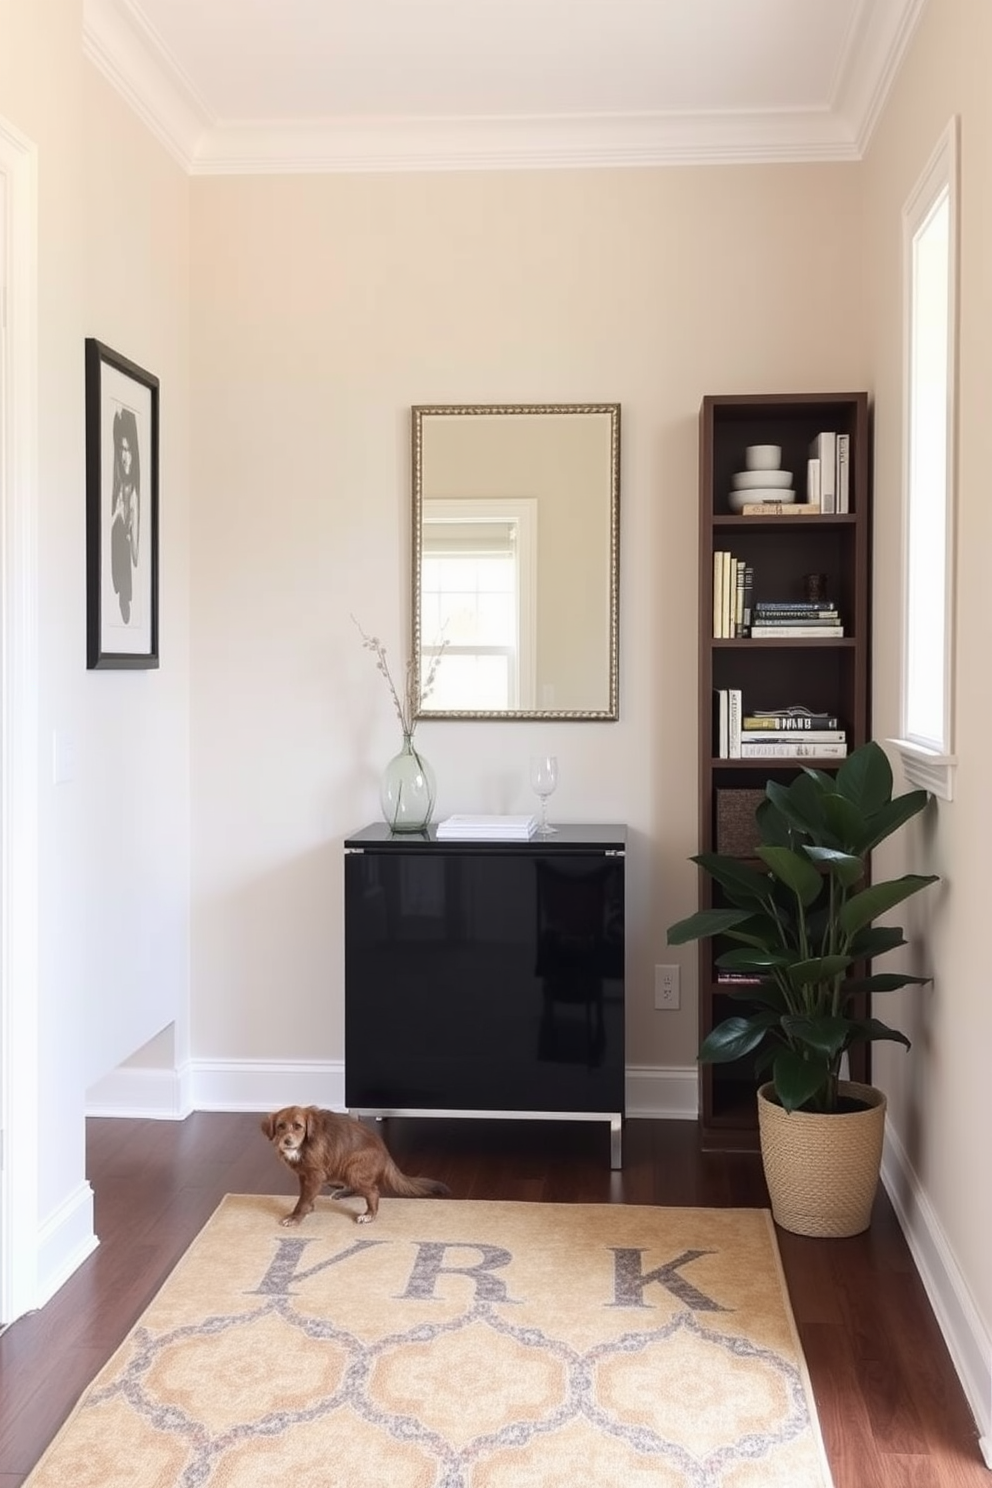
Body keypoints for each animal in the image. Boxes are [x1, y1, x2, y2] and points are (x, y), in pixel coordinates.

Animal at [261, 1101, 452, 1226]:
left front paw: (295, 1217)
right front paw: (308, 1208)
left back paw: (369, 1215)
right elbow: (305, 1196)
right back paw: (342, 1192)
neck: (304, 1144)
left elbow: (302, 1200)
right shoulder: (304, 1175)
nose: (287, 1141)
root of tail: (386, 1154)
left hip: (352, 1168)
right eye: (280, 1126)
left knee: (373, 1192)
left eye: (298, 1126)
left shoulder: (315, 1175)